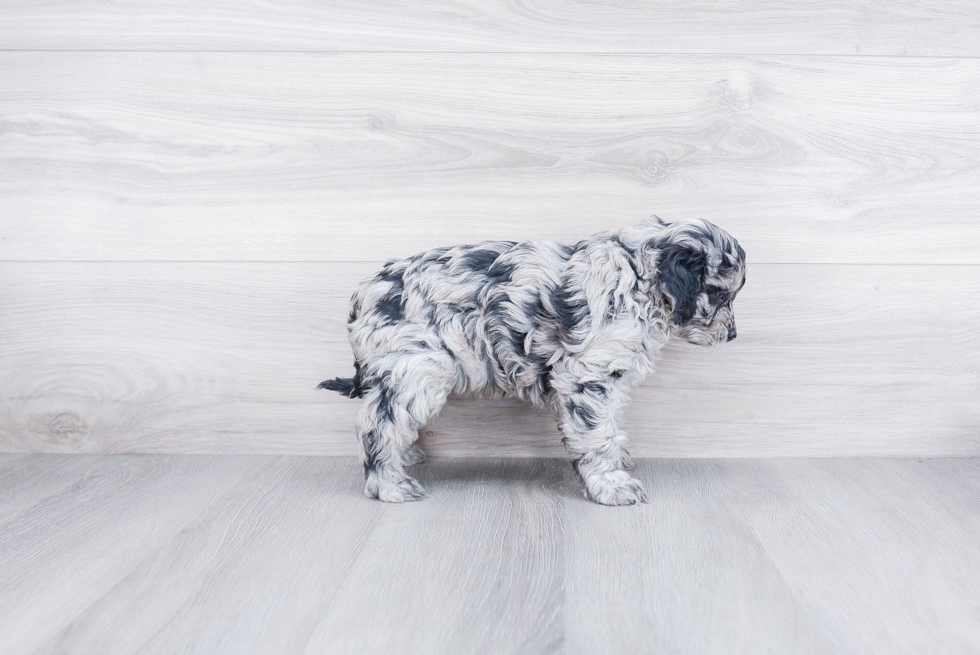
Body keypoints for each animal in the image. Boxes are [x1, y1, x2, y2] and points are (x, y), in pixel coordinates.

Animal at [320, 218, 744, 504]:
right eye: (721, 295)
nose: (733, 336)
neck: (635, 278)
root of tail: (361, 297)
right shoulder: (588, 377)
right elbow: (597, 434)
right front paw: (611, 484)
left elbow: (608, 429)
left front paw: (619, 463)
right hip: (419, 368)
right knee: (377, 425)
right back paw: (390, 484)